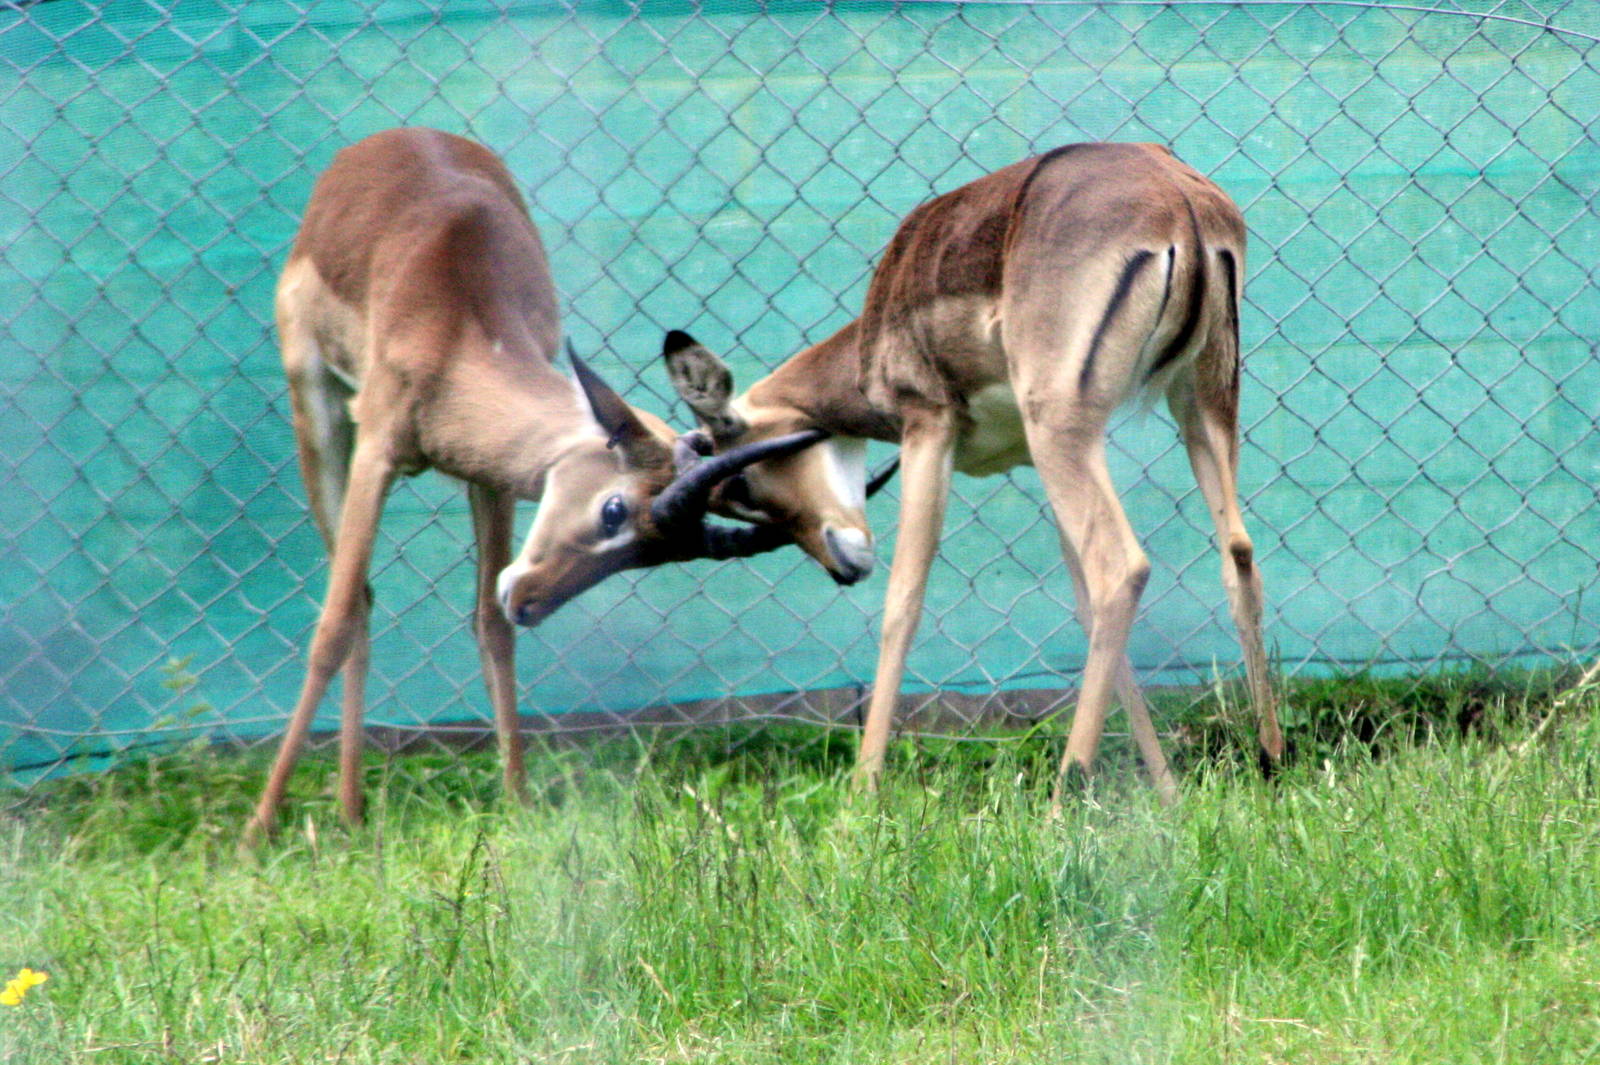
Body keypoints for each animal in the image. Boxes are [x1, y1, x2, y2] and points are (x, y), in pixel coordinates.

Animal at [243, 127, 830, 845]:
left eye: (653, 555)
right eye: (614, 509)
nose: (531, 601)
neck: (455, 321)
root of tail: (390, 139)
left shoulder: (492, 475)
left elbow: (488, 624)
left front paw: (519, 800)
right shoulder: (378, 450)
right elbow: (333, 623)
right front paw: (257, 830)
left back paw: (353, 811)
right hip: (318, 411)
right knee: (356, 599)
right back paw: (331, 811)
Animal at [659, 142, 1285, 803]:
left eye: (743, 485)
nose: (843, 567)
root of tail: (1178, 198)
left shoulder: (927, 429)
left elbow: (903, 603)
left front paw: (862, 792)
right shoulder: (1030, 459)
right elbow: (1082, 608)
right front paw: (1167, 794)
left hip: (1065, 427)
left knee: (1122, 569)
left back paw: (1062, 797)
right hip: (1200, 401)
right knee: (1237, 556)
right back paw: (1270, 760)